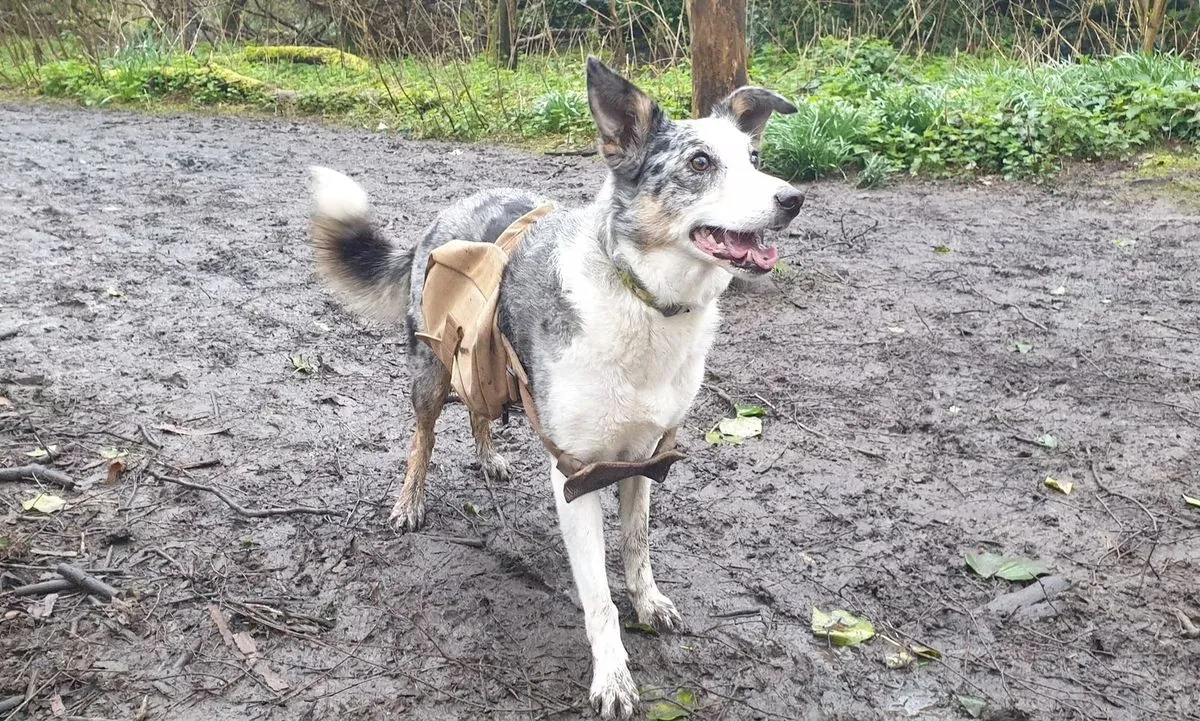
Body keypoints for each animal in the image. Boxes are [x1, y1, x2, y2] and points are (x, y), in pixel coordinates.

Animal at [309, 57, 801, 719]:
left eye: (755, 156)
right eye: (700, 163)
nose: (794, 199)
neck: (642, 299)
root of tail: (448, 210)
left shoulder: (645, 458)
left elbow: (637, 547)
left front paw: (649, 602)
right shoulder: (578, 473)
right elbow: (599, 601)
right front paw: (613, 677)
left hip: (483, 356)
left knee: (480, 408)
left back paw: (489, 458)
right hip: (430, 371)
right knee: (423, 438)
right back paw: (409, 501)